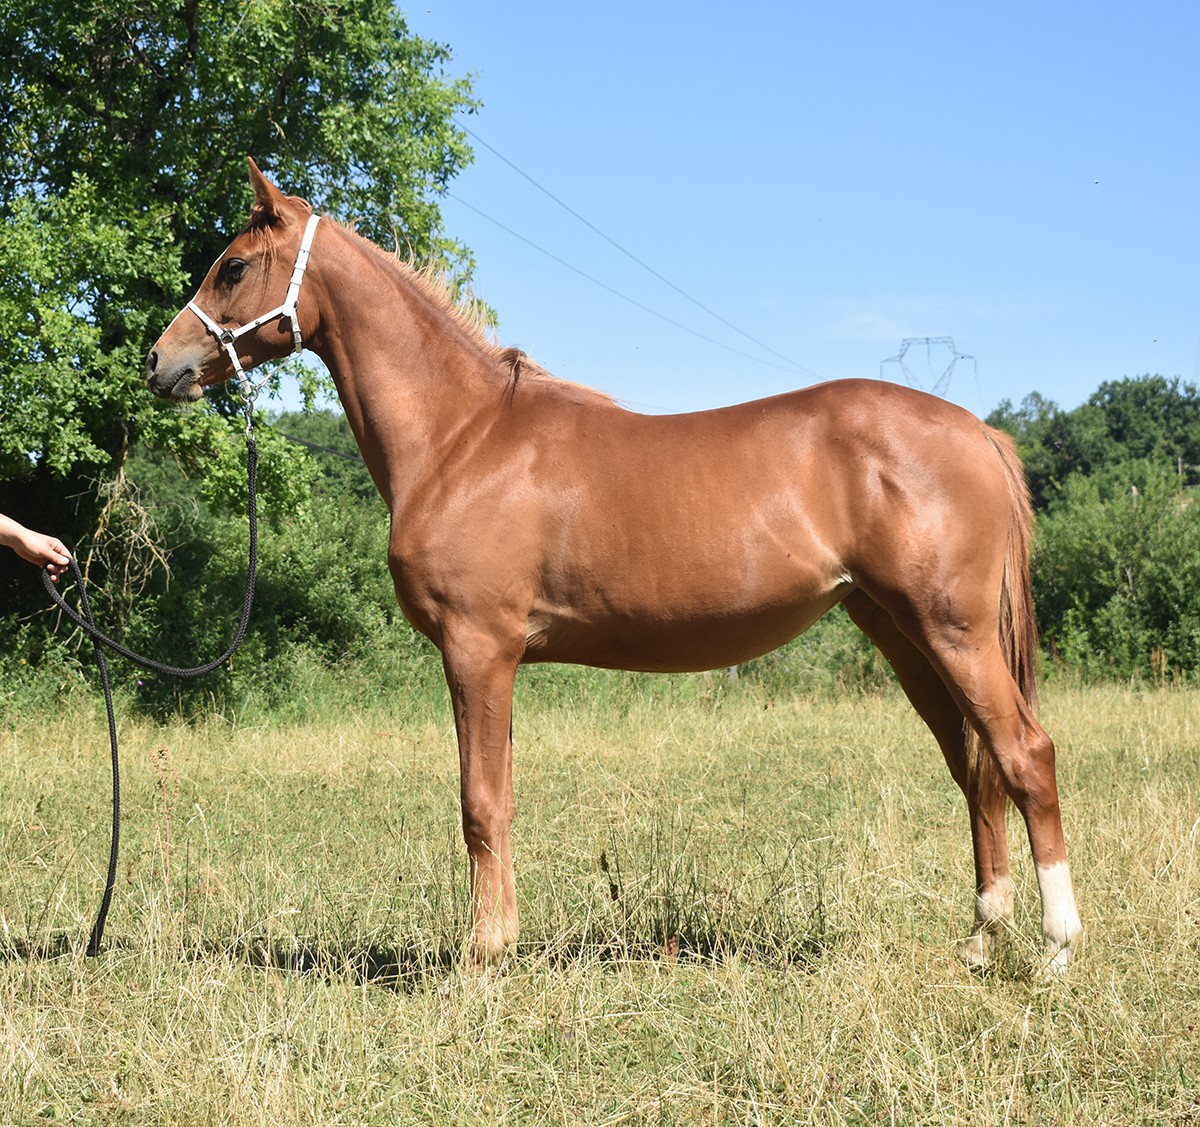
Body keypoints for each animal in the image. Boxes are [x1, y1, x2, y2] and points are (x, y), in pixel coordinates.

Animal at [145, 159, 1082, 971]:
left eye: (232, 267)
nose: (160, 362)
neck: (462, 437)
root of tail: (979, 431)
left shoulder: (477, 649)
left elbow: (479, 802)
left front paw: (480, 958)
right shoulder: (494, 660)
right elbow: (500, 797)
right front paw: (500, 941)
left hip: (951, 630)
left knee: (1026, 754)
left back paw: (1055, 950)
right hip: (900, 632)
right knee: (975, 765)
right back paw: (983, 938)